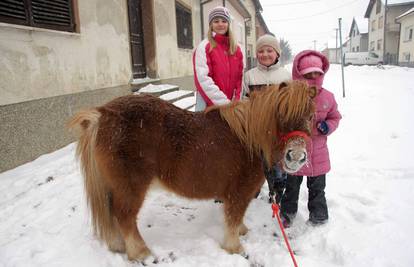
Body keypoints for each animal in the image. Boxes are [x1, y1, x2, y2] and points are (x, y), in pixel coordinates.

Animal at [68, 81, 316, 262]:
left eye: (312, 116)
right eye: (281, 114)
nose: (296, 157)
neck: (249, 137)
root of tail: (103, 114)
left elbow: (237, 219)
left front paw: (242, 231)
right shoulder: (239, 193)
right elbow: (233, 218)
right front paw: (234, 247)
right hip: (131, 187)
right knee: (124, 217)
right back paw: (140, 253)